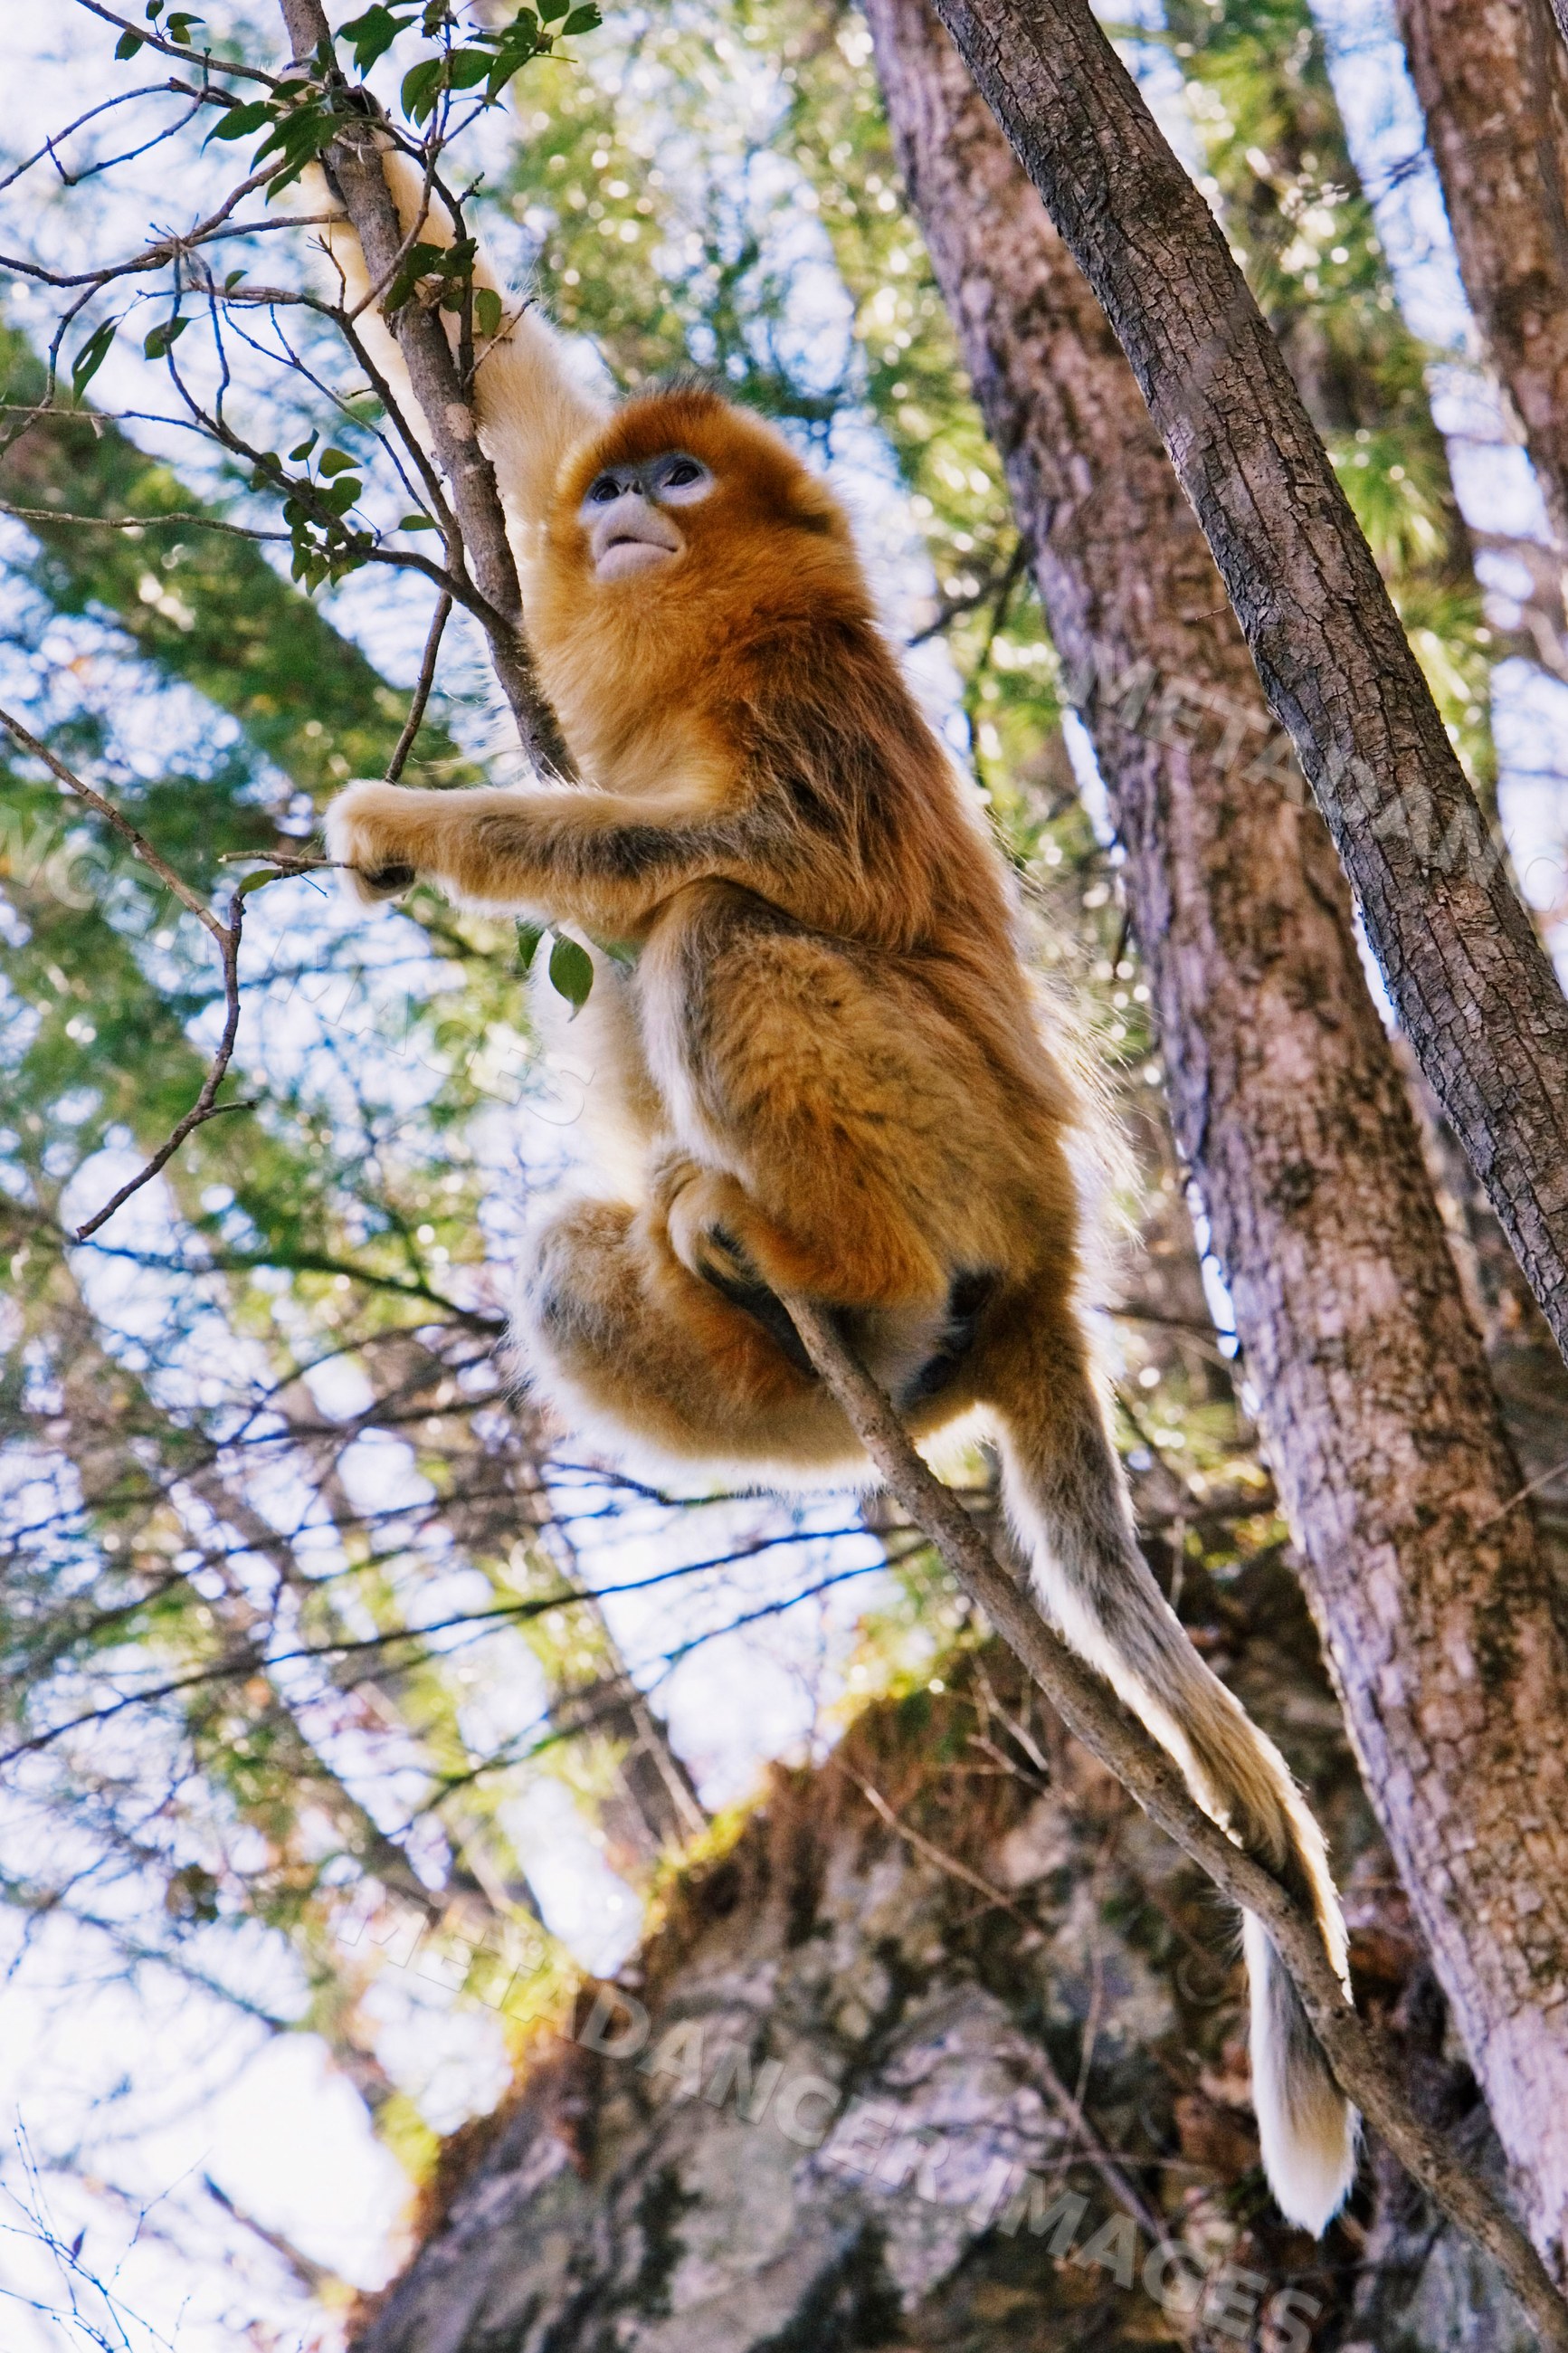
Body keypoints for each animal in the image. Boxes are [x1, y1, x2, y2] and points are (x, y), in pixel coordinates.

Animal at [316, 158, 1357, 2235]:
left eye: (683, 478)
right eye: (620, 475)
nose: (624, 509)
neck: (716, 631)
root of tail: (1043, 1265)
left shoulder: (809, 703)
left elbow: (735, 854)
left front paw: (406, 827)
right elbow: (487, 360)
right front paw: (359, 176)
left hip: (951, 1142)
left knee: (719, 929)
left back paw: (838, 1275)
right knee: (574, 1259)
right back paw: (820, 1344)